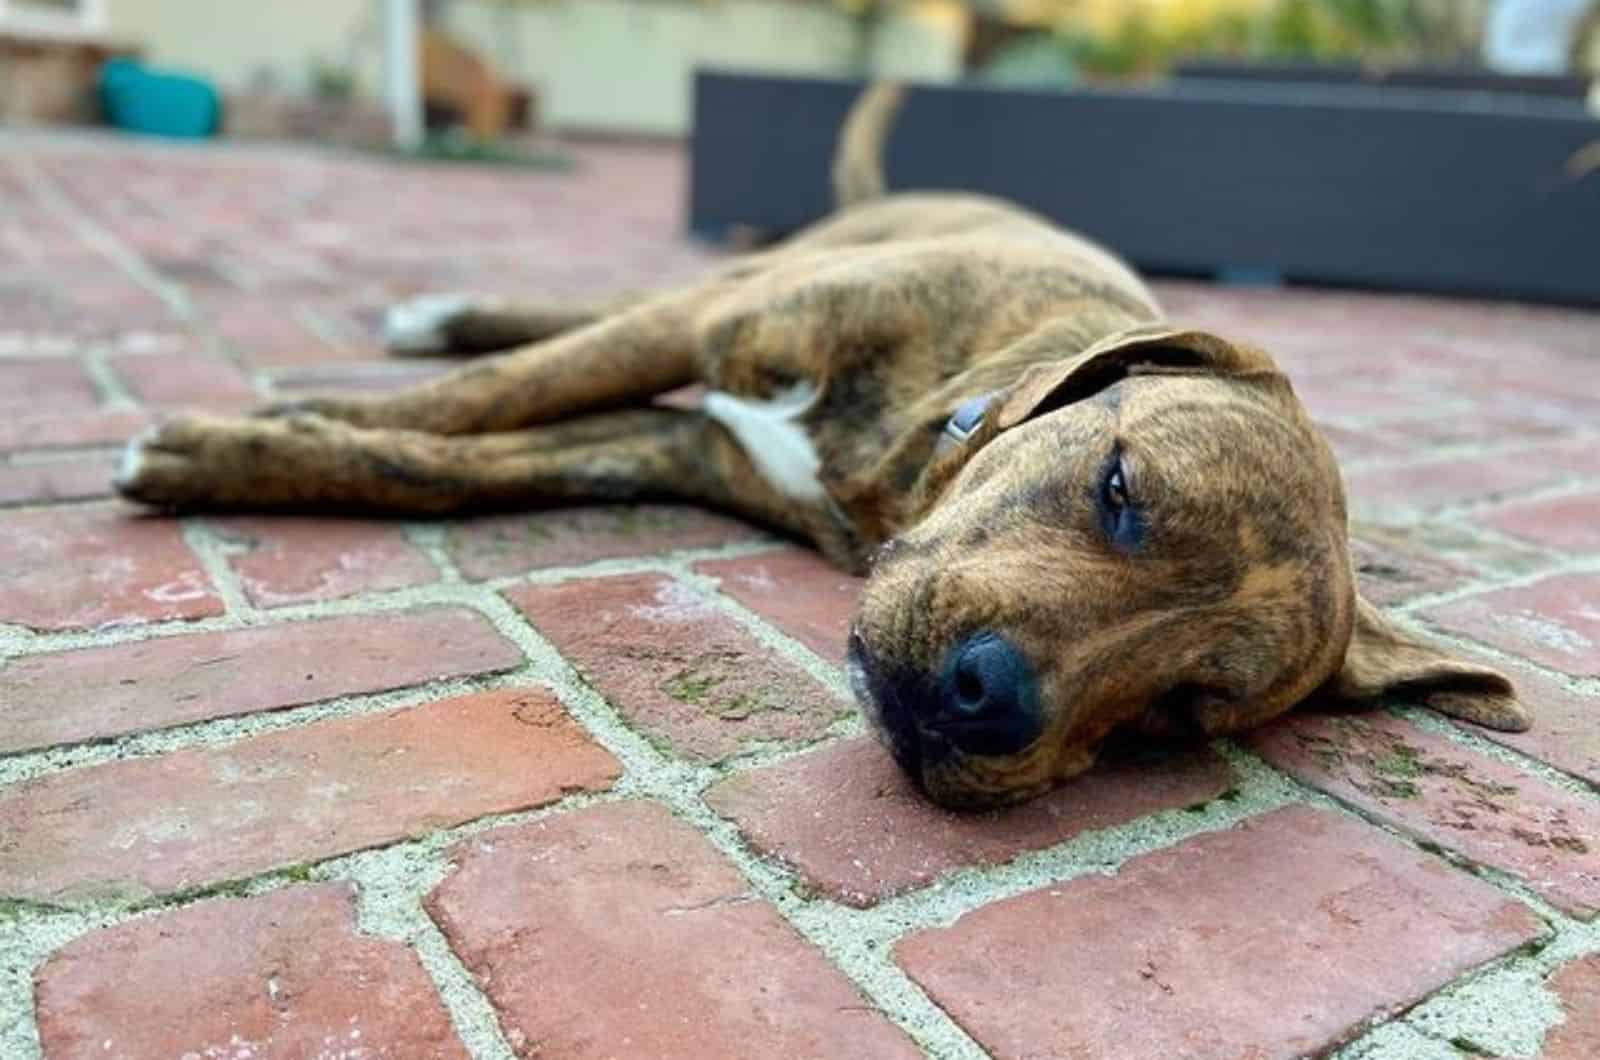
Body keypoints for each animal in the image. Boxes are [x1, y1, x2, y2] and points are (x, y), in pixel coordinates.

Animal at [118, 85, 1529, 813]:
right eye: (1120, 489)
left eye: (1182, 712)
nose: (984, 696)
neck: (914, 442)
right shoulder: (710, 328)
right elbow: (478, 403)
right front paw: (247, 431)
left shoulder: (673, 449)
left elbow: (454, 463)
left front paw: (244, 453)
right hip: (739, 279)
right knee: (559, 322)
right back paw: (438, 316)